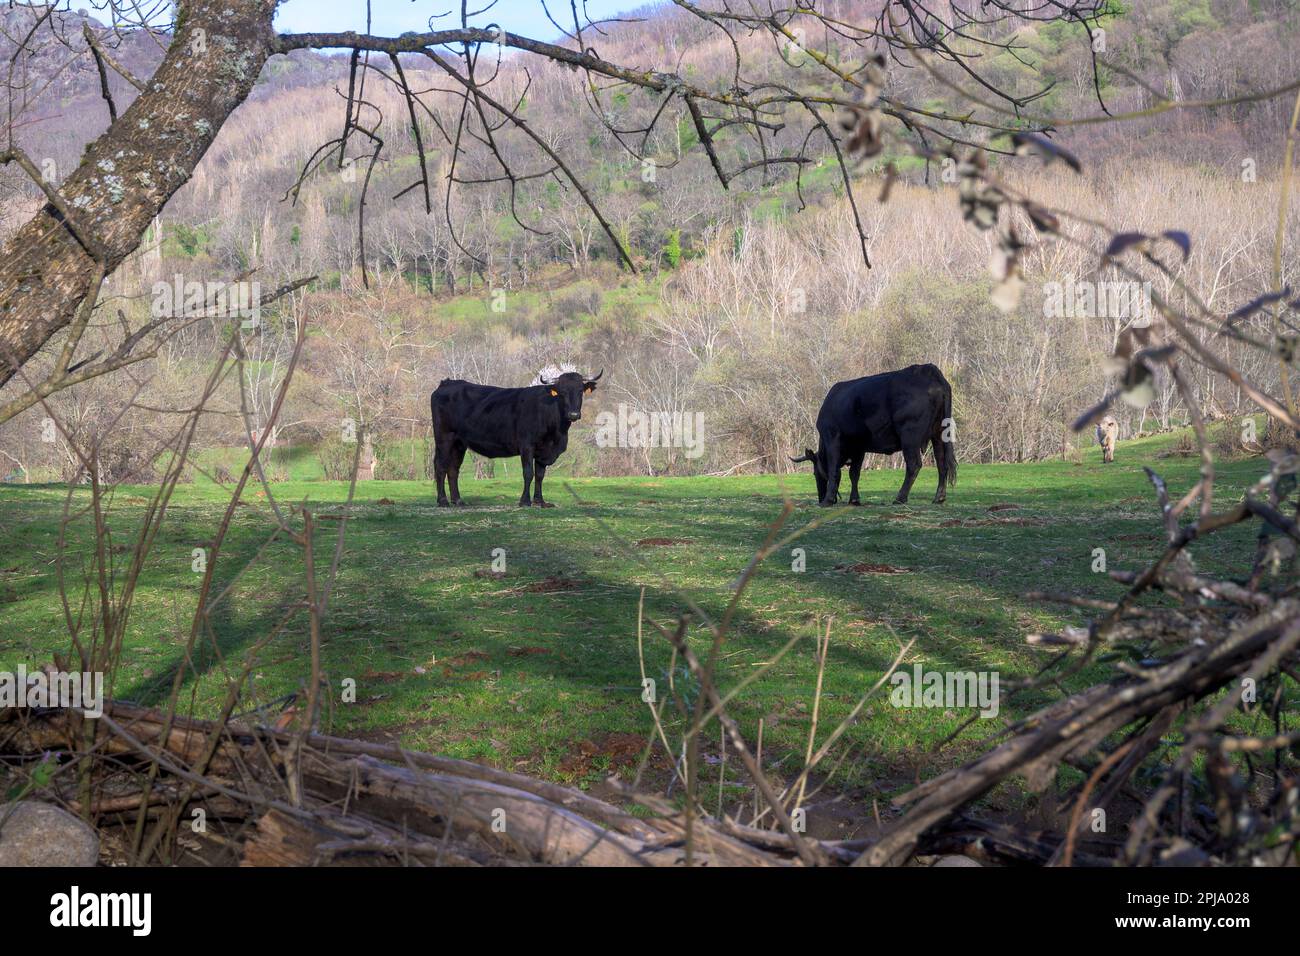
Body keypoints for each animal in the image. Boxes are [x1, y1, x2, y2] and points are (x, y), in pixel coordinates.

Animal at [430, 368, 602, 508]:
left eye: (580, 391)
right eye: (562, 392)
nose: (573, 414)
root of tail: (447, 383)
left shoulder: (544, 450)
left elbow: (540, 475)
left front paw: (539, 501)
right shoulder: (527, 445)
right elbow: (528, 473)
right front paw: (525, 501)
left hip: (459, 443)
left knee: (453, 469)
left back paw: (458, 500)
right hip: (444, 438)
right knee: (440, 466)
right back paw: (443, 501)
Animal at [790, 363, 956, 506]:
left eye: (815, 473)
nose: (820, 498)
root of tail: (929, 370)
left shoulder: (832, 438)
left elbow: (834, 470)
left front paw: (828, 500)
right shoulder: (859, 448)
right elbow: (854, 473)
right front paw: (854, 500)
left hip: (910, 435)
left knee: (914, 464)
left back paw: (900, 498)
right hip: (939, 434)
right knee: (942, 463)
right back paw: (939, 497)